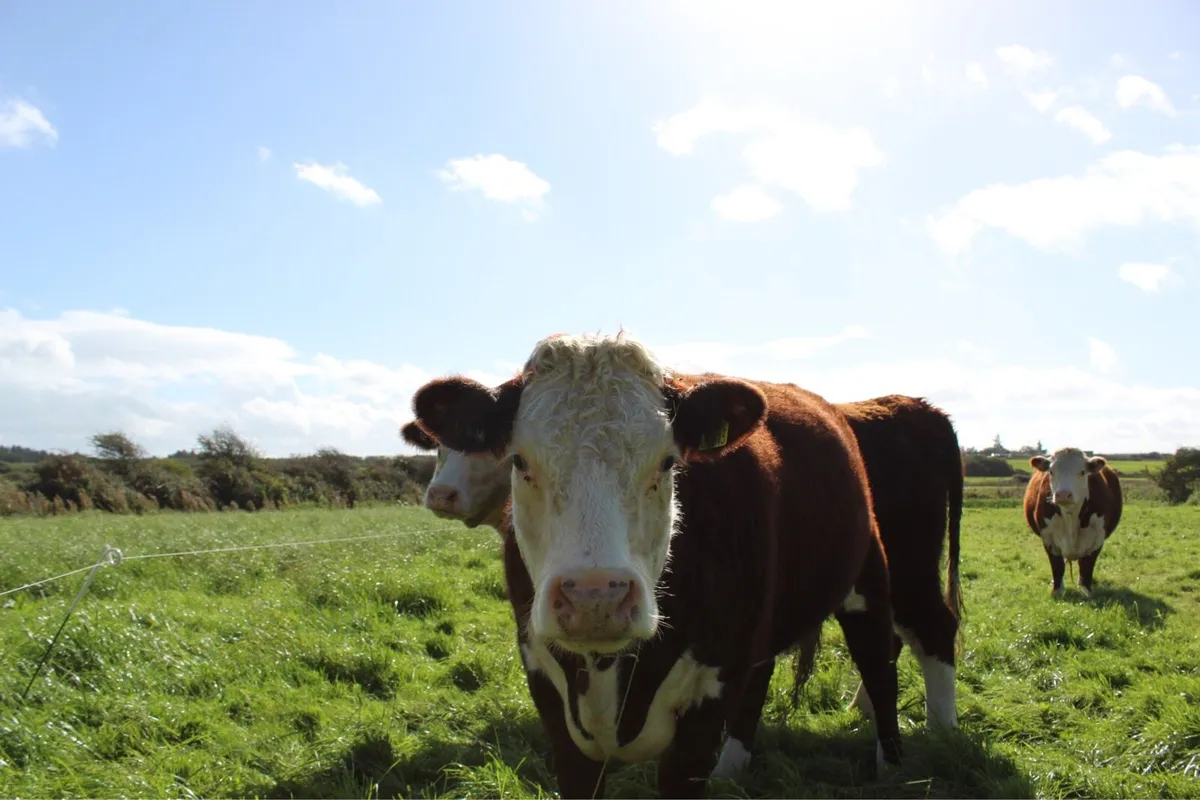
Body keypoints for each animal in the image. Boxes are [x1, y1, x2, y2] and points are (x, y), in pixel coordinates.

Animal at [409, 332, 902, 798]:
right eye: (519, 460)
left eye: (667, 462)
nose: (594, 598)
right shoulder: (547, 690)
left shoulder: (709, 700)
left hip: (868, 580)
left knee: (880, 662)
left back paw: (893, 767)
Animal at [1023, 447, 1123, 596]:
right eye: (1051, 472)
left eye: (1082, 472)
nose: (1063, 494)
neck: (1071, 517)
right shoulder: (1048, 539)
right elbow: (1057, 566)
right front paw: (1057, 591)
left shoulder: (1097, 539)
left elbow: (1087, 566)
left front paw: (1086, 591)